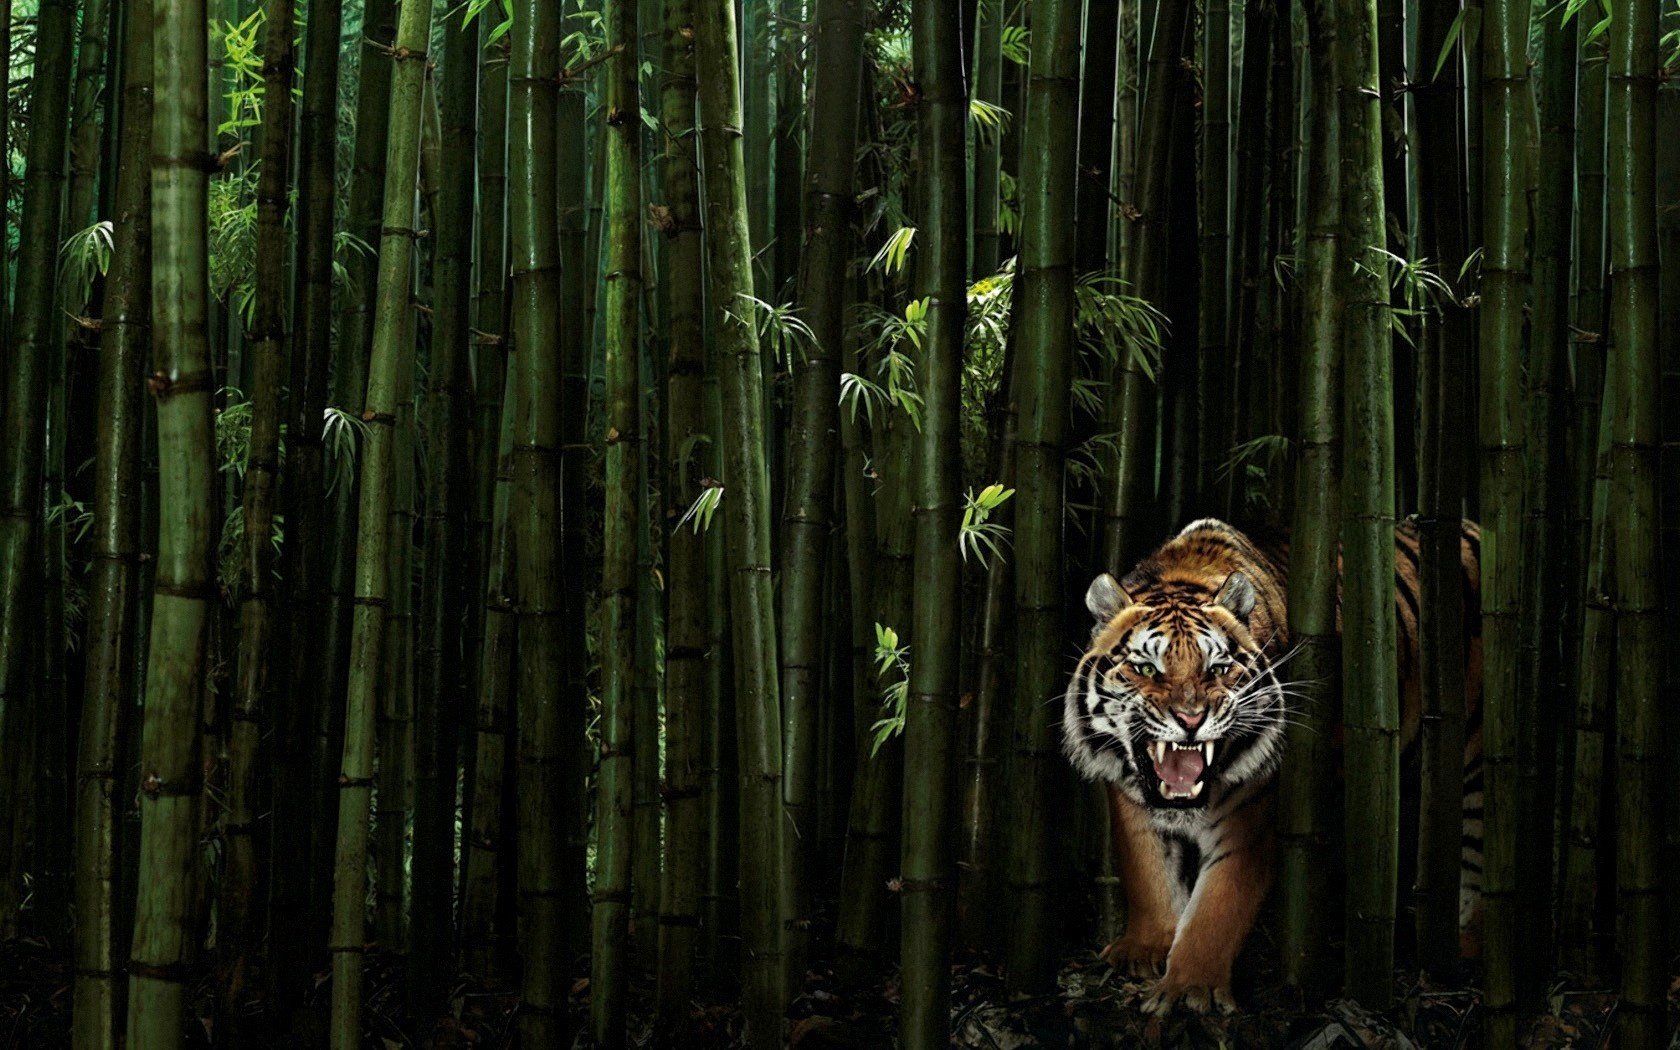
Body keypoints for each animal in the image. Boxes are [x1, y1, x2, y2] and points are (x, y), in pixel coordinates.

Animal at [1062, 517, 1483, 1015]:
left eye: (1217, 668)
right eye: (1147, 669)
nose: (1190, 719)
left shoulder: (1252, 816)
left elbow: (1218, 908)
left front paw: (1188, 989)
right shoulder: (1130, 800)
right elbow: (1148, 873)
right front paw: (1144, 950)